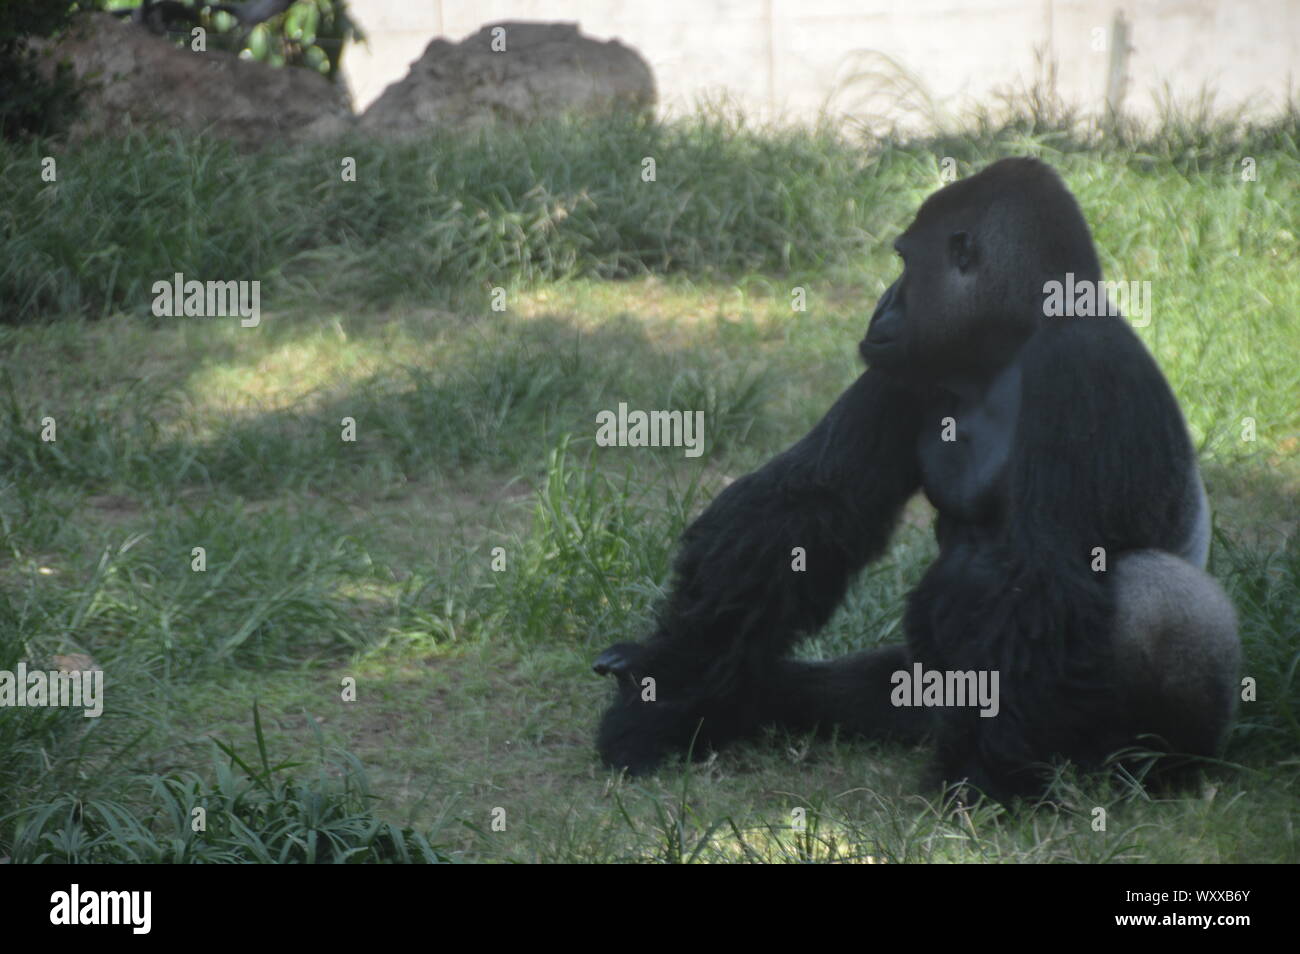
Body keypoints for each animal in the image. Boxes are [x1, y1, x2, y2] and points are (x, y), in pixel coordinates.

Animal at [590, 158, 1237, 805]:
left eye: (903, 262)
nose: (880, 303)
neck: (1007, 346)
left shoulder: (1078, 360)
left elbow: (1044, 570)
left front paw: (981, 775)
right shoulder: (906, 364)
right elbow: (810, 504)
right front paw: (677, 667)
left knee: (1158, 597)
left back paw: (1144, 764)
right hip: (928, 699)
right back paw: (730, 703)